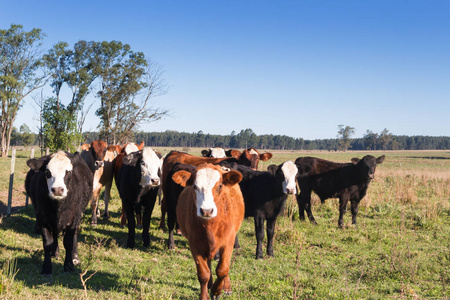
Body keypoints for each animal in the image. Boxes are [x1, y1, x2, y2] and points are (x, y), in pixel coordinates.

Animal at [172, 164, 244, 300]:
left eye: (220, 186)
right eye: (194, 186)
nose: (206, 210)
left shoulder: (228, 240)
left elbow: (223, 269)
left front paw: (217, 290)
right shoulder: (194, 243)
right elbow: (203, 273)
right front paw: (205, 295)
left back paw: (226, 287)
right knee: (209, 263)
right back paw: (210, 283)